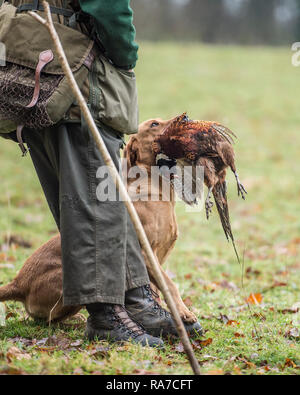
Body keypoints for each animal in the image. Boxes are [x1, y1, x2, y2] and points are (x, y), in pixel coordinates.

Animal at [0, 119, 198, 326]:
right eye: (154, 124)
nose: (185, 119)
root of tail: (19, 283)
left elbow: (157, 289)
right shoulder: (145, 253)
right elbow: (170, 285)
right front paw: (184, 313)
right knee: (48, 319)